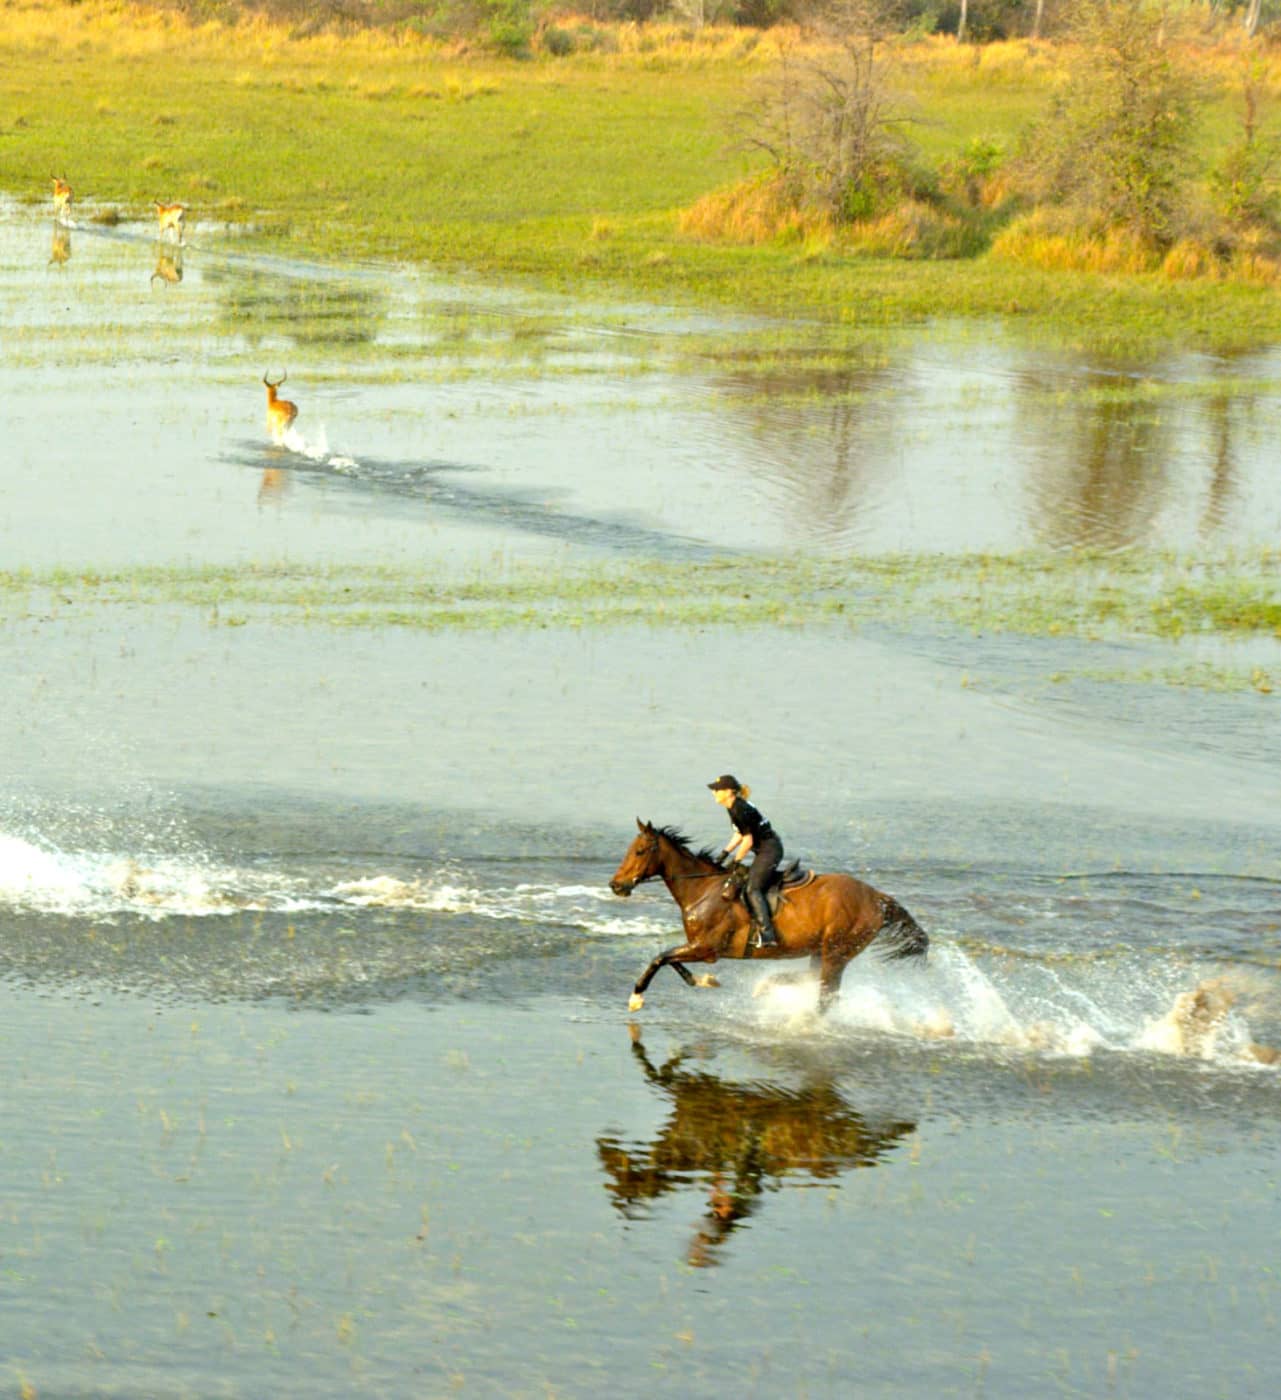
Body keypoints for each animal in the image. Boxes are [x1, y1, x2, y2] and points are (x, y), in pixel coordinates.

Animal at [610, 820, 928, 1015]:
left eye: (639, 851)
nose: (616, 885)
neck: (704, 889)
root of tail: (876, 898)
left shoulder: (707, 948)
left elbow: (660, 958)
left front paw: (636, 997)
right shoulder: (697, 947)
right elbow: (670, 960)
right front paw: (705, 981)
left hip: (838, 950)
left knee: (826, 995)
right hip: (824, 950)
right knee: (813, 979)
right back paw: (768, 985)